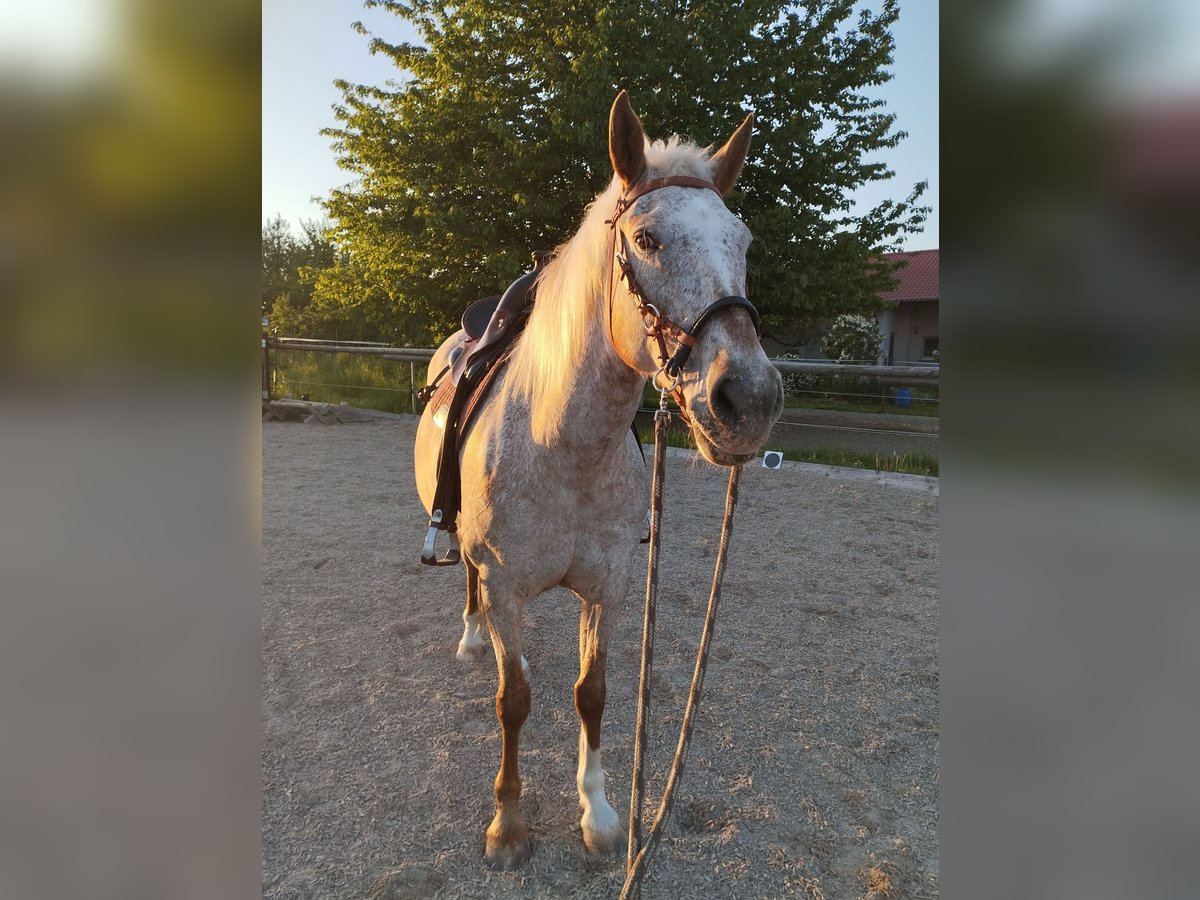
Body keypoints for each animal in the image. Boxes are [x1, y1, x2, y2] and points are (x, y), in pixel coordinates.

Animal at [415, 90, 787, 868]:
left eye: (743, 245)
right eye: (646, 239)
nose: (751, 401)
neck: (563, 448)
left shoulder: (609, 586)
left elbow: (592, 693)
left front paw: (601, 815)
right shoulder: (505, 584)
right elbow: (514, 701)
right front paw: (509, 826)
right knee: (468, 583)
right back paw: (471, 640)